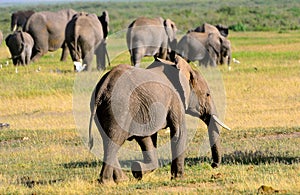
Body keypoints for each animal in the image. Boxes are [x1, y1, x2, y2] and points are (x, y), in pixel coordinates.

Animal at [88, 55, 231, 184]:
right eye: (207, 94)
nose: (213, 165)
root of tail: (103, 87)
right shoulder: (175, 99)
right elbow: (179, 133)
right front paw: (178, 178)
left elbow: (148, 138)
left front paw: (138, 170)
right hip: (119, 108)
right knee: (114, 141)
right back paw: (107, 182)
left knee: (108, 140)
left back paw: (122, 180)